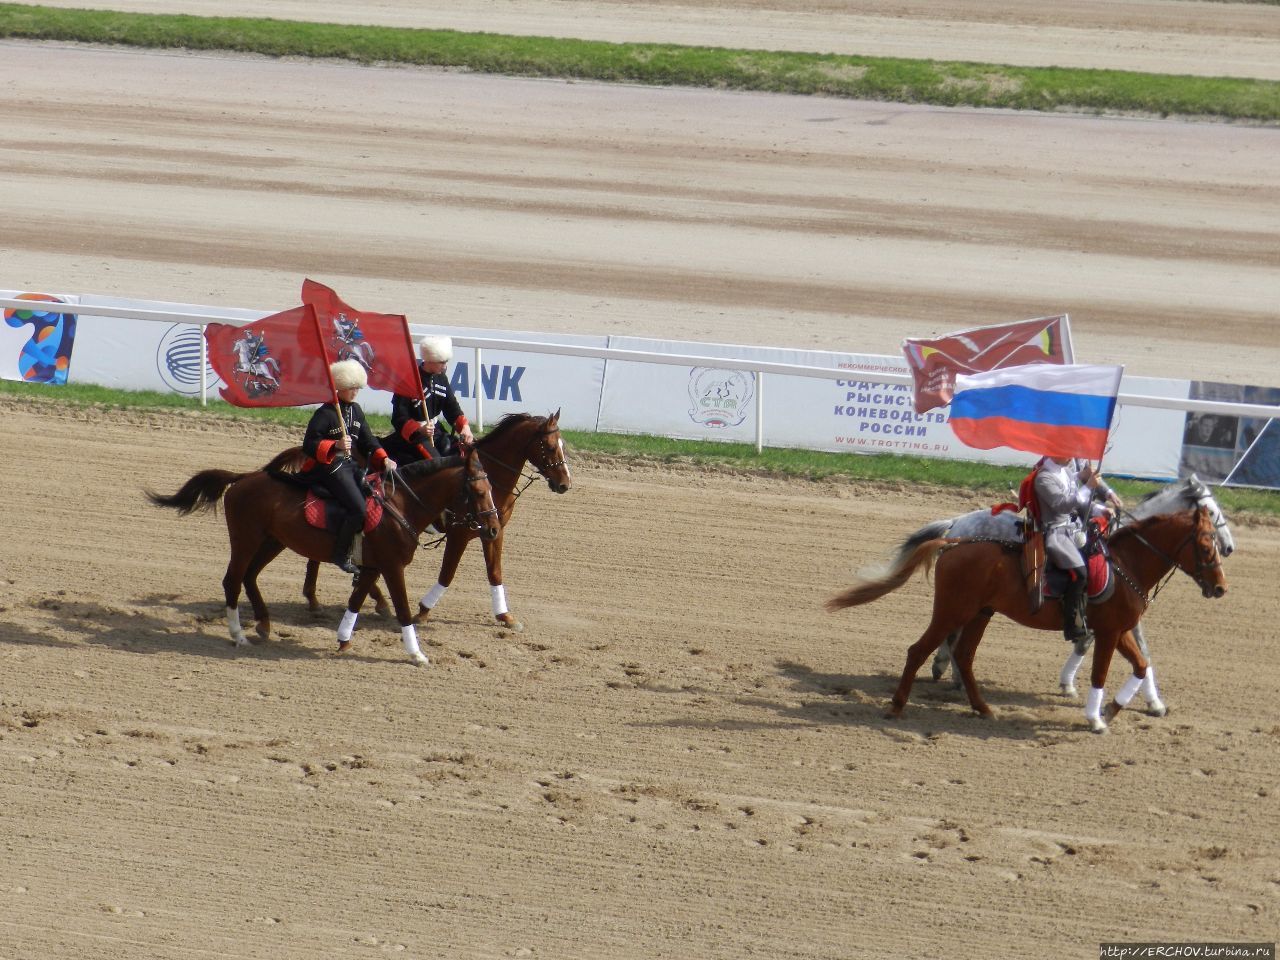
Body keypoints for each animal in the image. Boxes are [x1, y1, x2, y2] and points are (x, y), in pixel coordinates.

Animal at [144, 448, 494, 665]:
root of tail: (243, 478)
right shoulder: (392, 567)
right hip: (245, 540)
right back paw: (239, 635)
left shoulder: (371, 567)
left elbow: (356, 600)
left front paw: (343, 639)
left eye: (491, 489)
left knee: (249, 577)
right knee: (232, 580)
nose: (492, 527)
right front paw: (416, 654)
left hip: (272, 542)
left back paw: (264, 624)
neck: (400, 507)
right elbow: (403, 611)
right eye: (478, 492)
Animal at [299, 412, 570, 632]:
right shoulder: (459, 534)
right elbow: (447, 573)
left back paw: (326, 598)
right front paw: (423, 611)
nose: (565, 483)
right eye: (549, 446)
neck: (486, 475)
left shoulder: (494, 531)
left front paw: (505, 616)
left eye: (562, 445)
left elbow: (494, 572)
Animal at [829, 504, 1228, 737]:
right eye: (1205, 546)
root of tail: (956, 540)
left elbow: (1142, 665)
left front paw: (1115, 709)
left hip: (980, 613)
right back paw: (897, 706)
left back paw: (982, 707)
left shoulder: (1121, 629)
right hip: (952, 610)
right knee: (920, 650)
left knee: (964, 656)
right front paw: (1096, 718)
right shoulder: (1110, 632)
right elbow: (1100, 674)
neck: (1125, 564)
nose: (1221, 587)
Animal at [916, 478, 1233, 716]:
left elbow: (1128, 649)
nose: (1229, 547)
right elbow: (1120, 647)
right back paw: (952, 673)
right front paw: (1152, 702)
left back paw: (946, 668)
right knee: (953, 633)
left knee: (953, 634)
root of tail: (957, 522)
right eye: (1212, 511)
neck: (1122, 554)